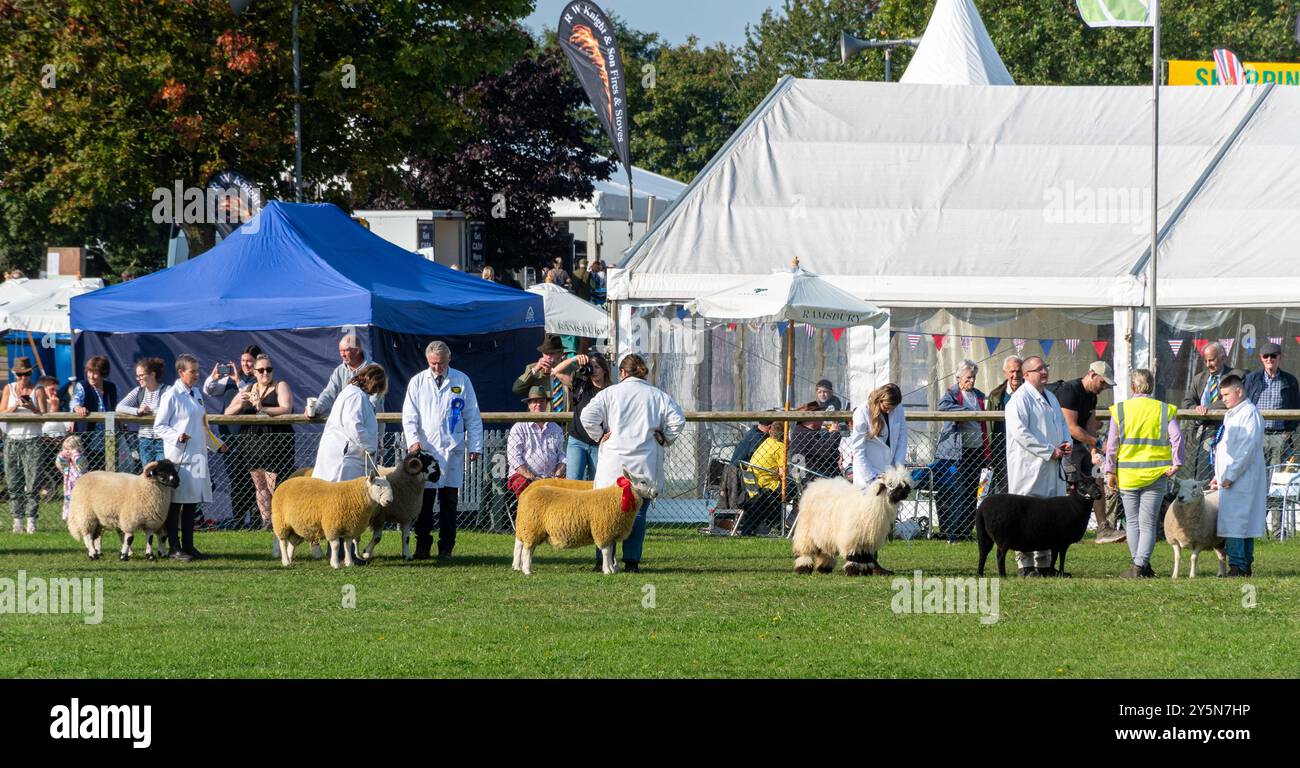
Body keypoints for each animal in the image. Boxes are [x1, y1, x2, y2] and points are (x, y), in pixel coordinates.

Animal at [512, 467, 660, 576]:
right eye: (643, 482)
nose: (656, 493)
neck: (617, 498)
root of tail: (527, 492)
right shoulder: (603, 529)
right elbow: (606, 552)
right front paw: (607, 570)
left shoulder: (611, 532)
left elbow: (611, 551)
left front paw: (612, 568)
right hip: (531, 526)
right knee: (526, 549)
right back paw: (526, 570)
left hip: (529, 527)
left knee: (526, 548)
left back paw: (525, 567)